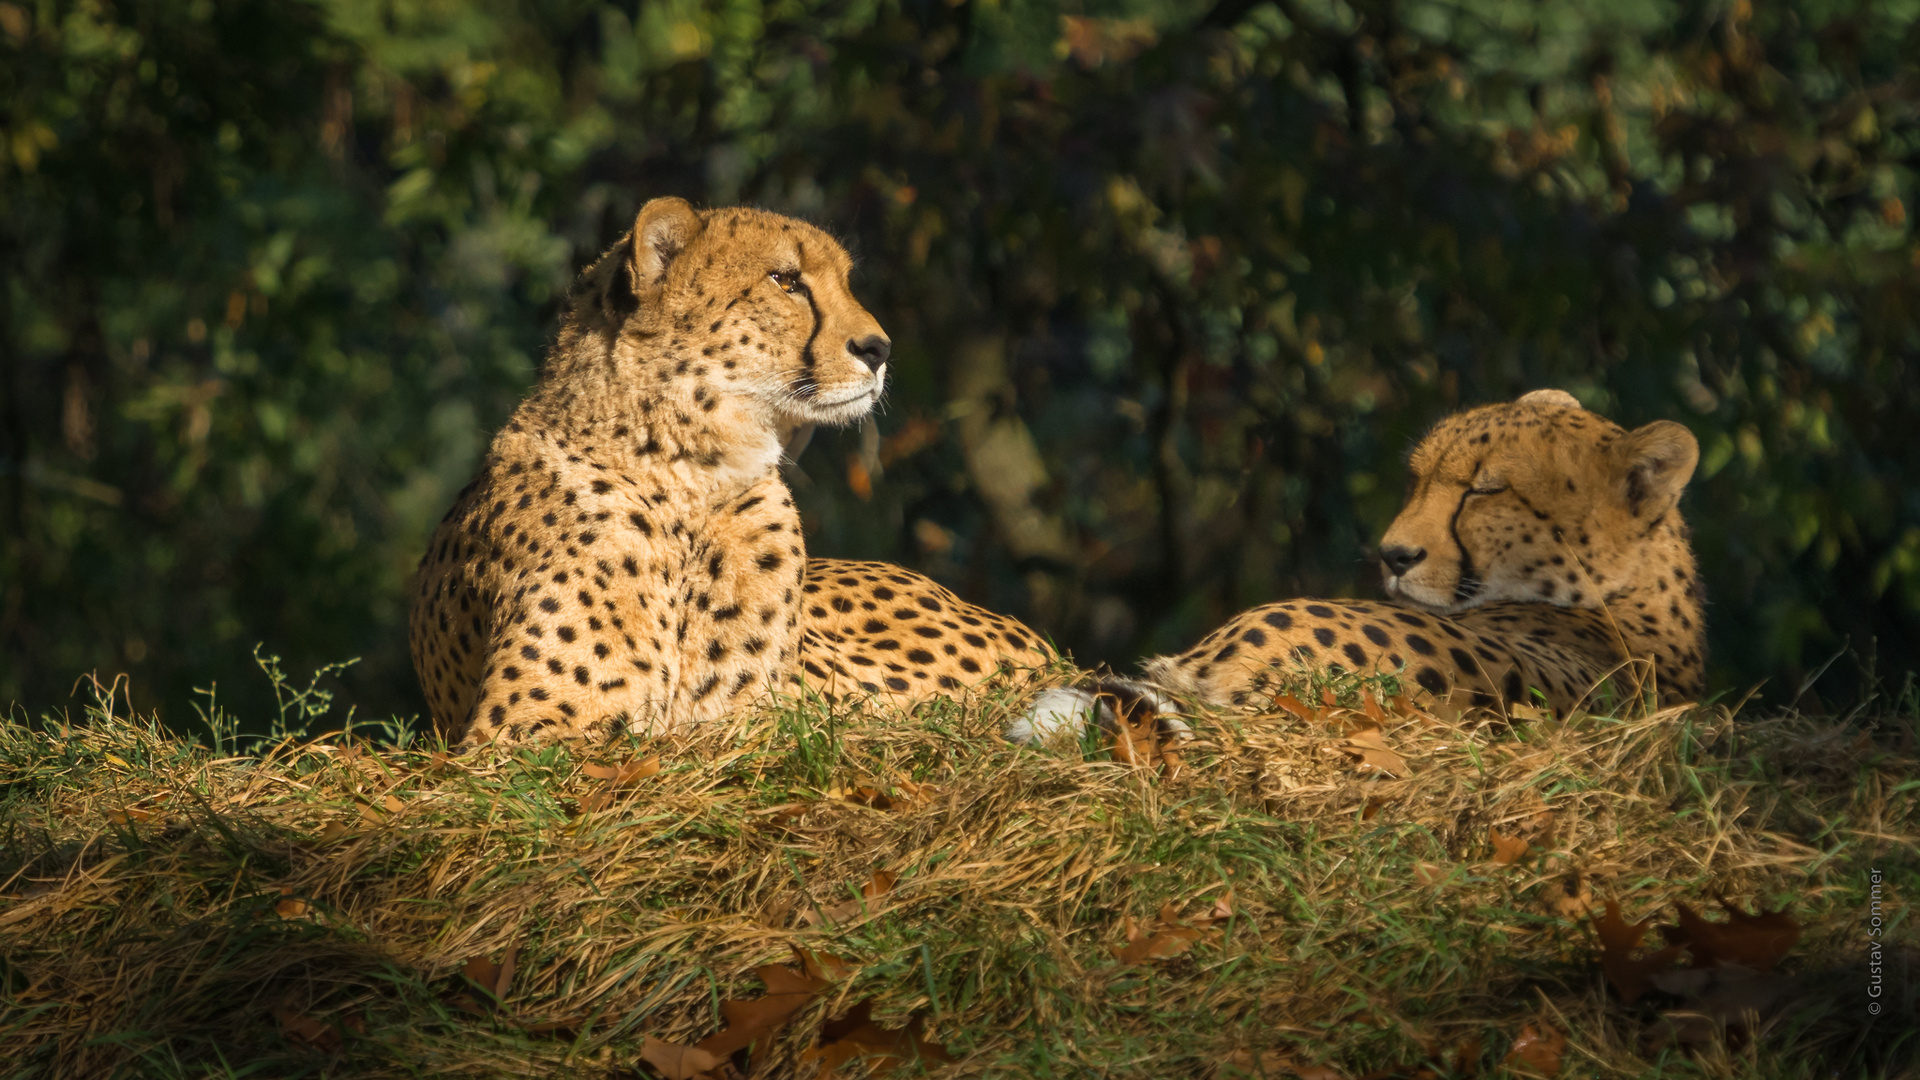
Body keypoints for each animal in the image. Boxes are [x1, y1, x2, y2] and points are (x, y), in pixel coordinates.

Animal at [410, 197, 1059, 745]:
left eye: (844, 281)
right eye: (786, 280)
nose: (879, 349)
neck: (686, 476)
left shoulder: (752, 716)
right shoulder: (520, 733)